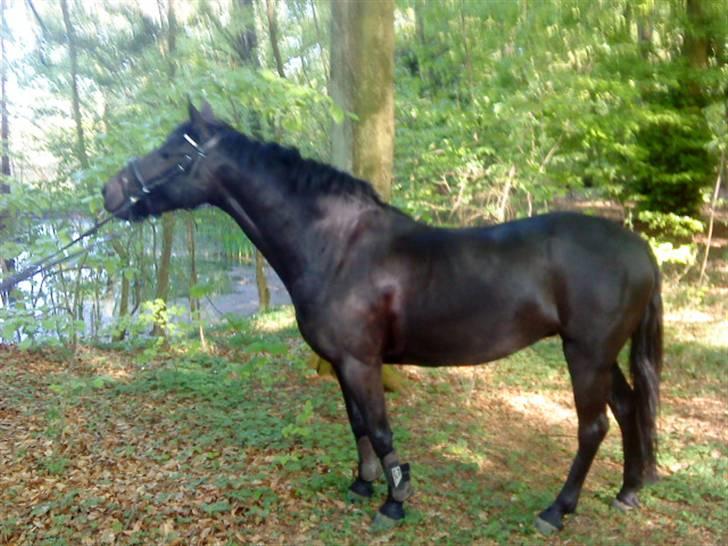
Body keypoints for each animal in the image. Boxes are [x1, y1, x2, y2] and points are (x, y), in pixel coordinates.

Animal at [102, 101, 662, 534]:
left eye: (173, 152)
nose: (110, 192)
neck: (337, 246)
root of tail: (639, 249)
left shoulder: (361, 361)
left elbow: (381, 428)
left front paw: (394, 503)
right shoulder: (341, 363)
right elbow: (358, 425)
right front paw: (363, 483)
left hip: (586, 353)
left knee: (592, 426)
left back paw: (556, 511)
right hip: (601, 354)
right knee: (628, 408)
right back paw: (628, 491)